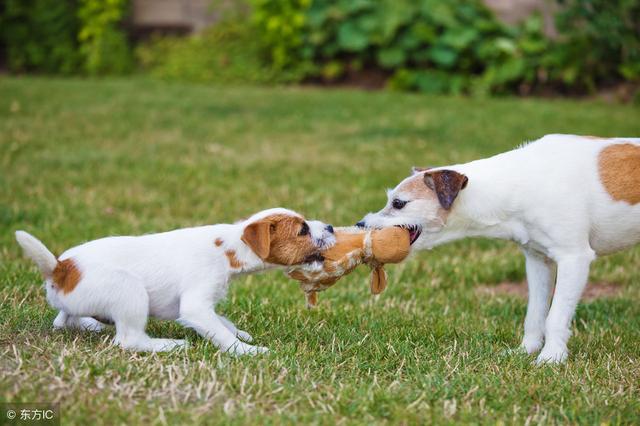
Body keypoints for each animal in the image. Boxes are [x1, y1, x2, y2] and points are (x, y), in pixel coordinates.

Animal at [15, 208, 336, 354]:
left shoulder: (202, 306)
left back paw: (92, 324)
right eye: (302, 230)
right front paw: (247, 351)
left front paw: (241, 334)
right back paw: (170, 344)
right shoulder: (196, 306)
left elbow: (223, 321)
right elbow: (220, 333)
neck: (229, 246)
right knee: (129, 340)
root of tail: (61, 269)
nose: (332, 226)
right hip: (130, 290)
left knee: (63, 319)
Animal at [358, 135, 640, 364]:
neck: (519, 183)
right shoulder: (537, 261)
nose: (360, 225)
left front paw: (551, 358)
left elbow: (556, 316)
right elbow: (535, 314)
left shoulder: (574, 258)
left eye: (398, 203)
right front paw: (526, 350)